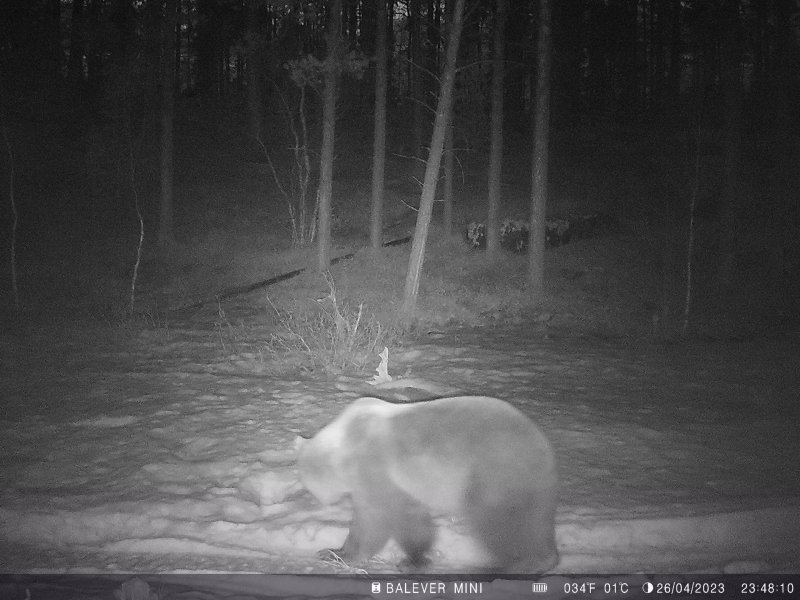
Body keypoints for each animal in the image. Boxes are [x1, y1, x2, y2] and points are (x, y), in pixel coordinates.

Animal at [294, 396, 556, 576]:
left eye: (307, 482)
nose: (317, 500)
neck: (347, 442)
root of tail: (540, 444)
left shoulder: (373, 467)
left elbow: (378, 518)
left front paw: (347, 555)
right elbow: (412, 515)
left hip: (493, 469)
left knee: (498, 520)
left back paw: (512, 565)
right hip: (525, 480)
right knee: (534, 519)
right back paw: (541, 559)